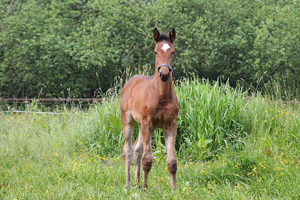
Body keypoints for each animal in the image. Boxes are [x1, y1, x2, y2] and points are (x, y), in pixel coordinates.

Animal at [119, 28, 179, 191]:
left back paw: (137, 182)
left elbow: (172, 161)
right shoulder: (148, 123)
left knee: (137, 149)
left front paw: (174, 190)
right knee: (128, 150)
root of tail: (131, 81)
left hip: (142, 125)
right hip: (129, 120)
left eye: (173, 52)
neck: (162, 97)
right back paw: (128, 184)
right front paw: (145, 189)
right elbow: (147, 159)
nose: (164, 74)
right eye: (155, 51)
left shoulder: (170, 125)